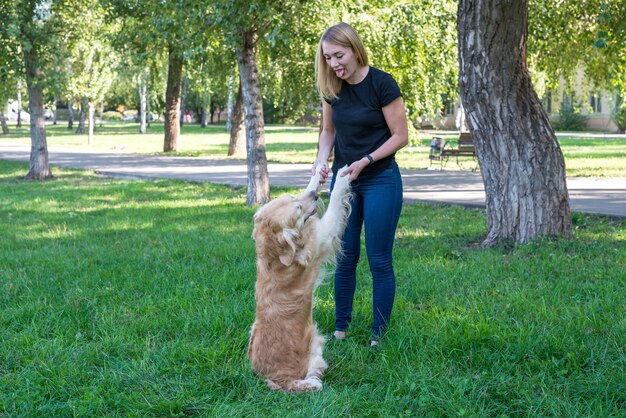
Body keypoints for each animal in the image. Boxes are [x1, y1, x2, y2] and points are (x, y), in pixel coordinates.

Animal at [246, 162, 352, 392]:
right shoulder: (322, 238)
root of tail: (278, 381)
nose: (314, 195)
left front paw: (318, 171)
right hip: (315, 349)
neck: (274, 255)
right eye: (298, 209)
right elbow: (335, 201)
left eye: (293, 198)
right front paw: (341, 177)